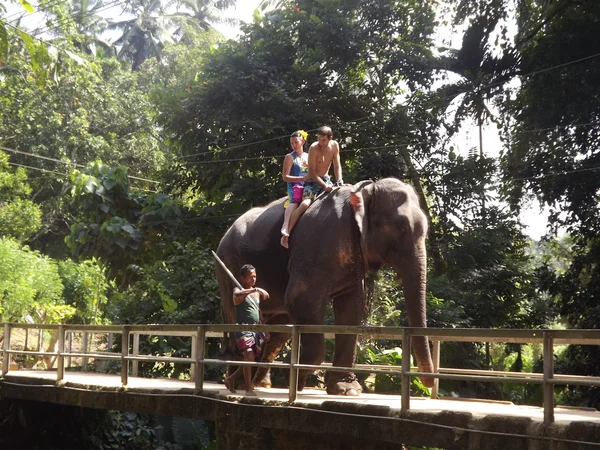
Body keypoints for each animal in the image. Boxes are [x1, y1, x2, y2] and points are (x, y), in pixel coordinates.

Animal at [218, 178, 434, 396]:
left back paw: (258, 384)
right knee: (236, 317)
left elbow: (350, 312)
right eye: (400, 228)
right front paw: (295, 375)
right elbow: (301, 299)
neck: (364, 190)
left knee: (279, 329)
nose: (428, 382)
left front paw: (346, 390)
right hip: (228, 265)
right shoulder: (318, 243)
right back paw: (237, 384)